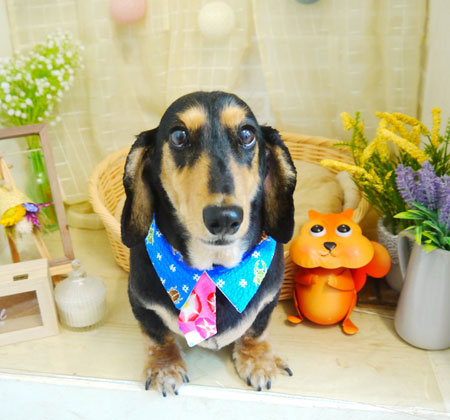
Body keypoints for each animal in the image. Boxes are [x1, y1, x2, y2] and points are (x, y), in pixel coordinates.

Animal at [121, 91, 297, 396]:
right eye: (178, 136)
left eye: (247, 134)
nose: (224, 218)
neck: (214, 270)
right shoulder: (141, 302)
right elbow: (157, 335)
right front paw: (164, 367)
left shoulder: (269, 298)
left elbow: (257, 329)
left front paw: (259, 360)